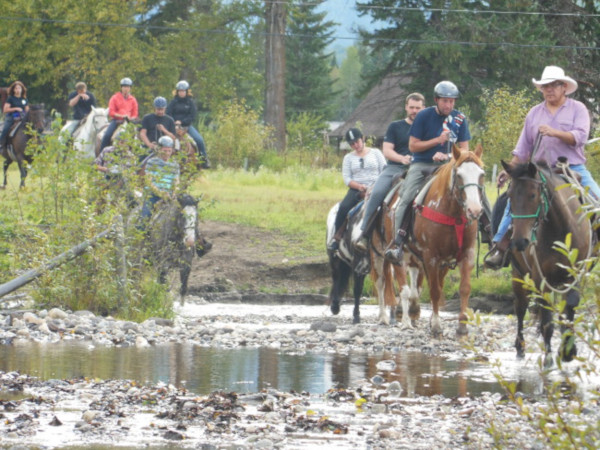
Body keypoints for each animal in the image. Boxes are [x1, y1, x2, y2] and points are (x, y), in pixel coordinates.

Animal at [390, 145, 488, 338]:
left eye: (481, 174)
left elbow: (464, 288)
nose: (474, 210)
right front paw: (436, 325)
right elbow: (434, 291)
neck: (452, 214)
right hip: (402, 254)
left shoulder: (466, 254)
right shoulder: (431, 257)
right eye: (459, 175)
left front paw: (462, 326)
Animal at [500, 160, 592, 364]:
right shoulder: (541, 280)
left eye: (533, 195)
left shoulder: (573, 275)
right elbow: (547, 320)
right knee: (521, 308)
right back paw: (520, 347)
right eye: (509, 196)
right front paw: (549, 358)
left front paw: (568, 350)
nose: (519, 241)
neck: (561, 230)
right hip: (519, 275)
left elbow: (569, 308)